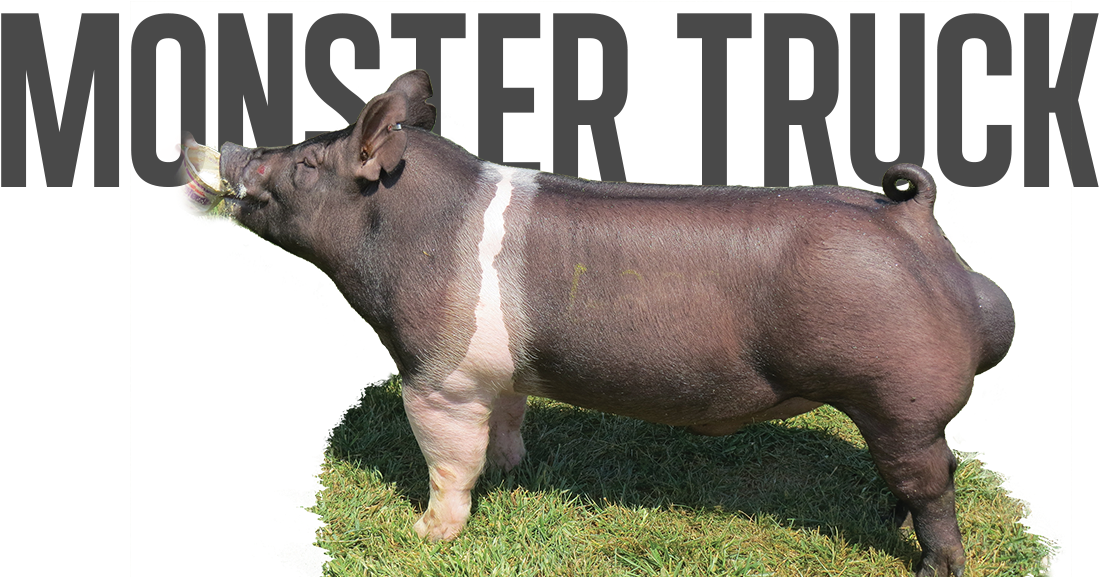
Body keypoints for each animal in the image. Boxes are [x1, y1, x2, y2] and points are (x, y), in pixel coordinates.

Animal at [212, 69, 1014, 577]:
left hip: (899, 397)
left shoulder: (438, 374)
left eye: (310, 163)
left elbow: (448, 462)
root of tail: (913, 221)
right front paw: (513, 469)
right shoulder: (499, 373)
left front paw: (426, 533)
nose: (233, 150)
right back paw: (887, 522)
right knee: (921, 475)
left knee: (935, 482)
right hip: (894, 410)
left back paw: (934, 567)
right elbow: (509, 419)